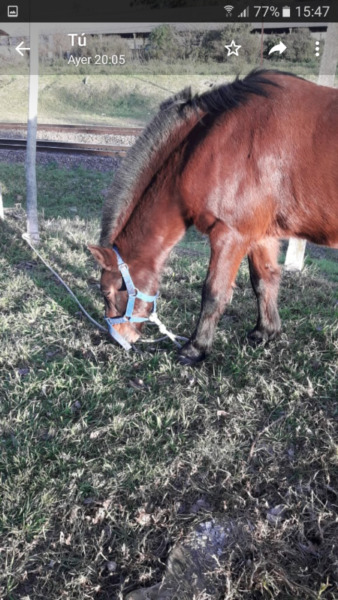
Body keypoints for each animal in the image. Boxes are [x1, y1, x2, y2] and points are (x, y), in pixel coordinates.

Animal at [89, 68, 338, 364]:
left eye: (109, 291)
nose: (119, 339)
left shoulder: (230, 235)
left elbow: (213, 293)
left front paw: (195, 348)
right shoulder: (261, 236)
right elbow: (264, 281)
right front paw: (265, 332)